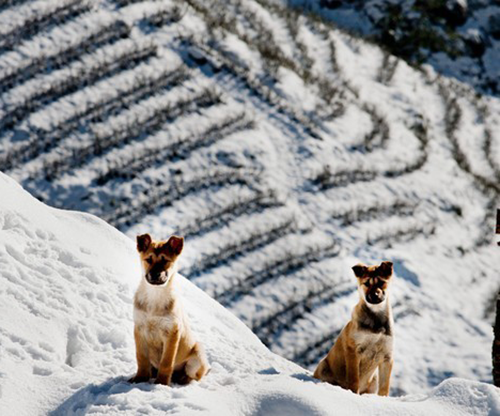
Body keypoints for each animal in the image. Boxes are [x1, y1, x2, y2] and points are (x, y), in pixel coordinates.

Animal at [129, 233, 210, 385]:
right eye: (148, 259)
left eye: (165, 260)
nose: (155, 275)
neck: (155, 295)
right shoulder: (139, 328)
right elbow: (141, 358)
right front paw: (139, 379)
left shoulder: (172, 332)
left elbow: (166, 362)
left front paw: (161, 383)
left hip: (197, 355)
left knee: (193, 376)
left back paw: (181, 380)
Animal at [313, 261, 394, 396]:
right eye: (366, 283)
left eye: (381, 282)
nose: (374, 295)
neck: (376, 319)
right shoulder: (354, 350)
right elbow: (354, 379)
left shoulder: (387, 356)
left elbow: (384, 387)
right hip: (323, 366)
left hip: (373, 381)